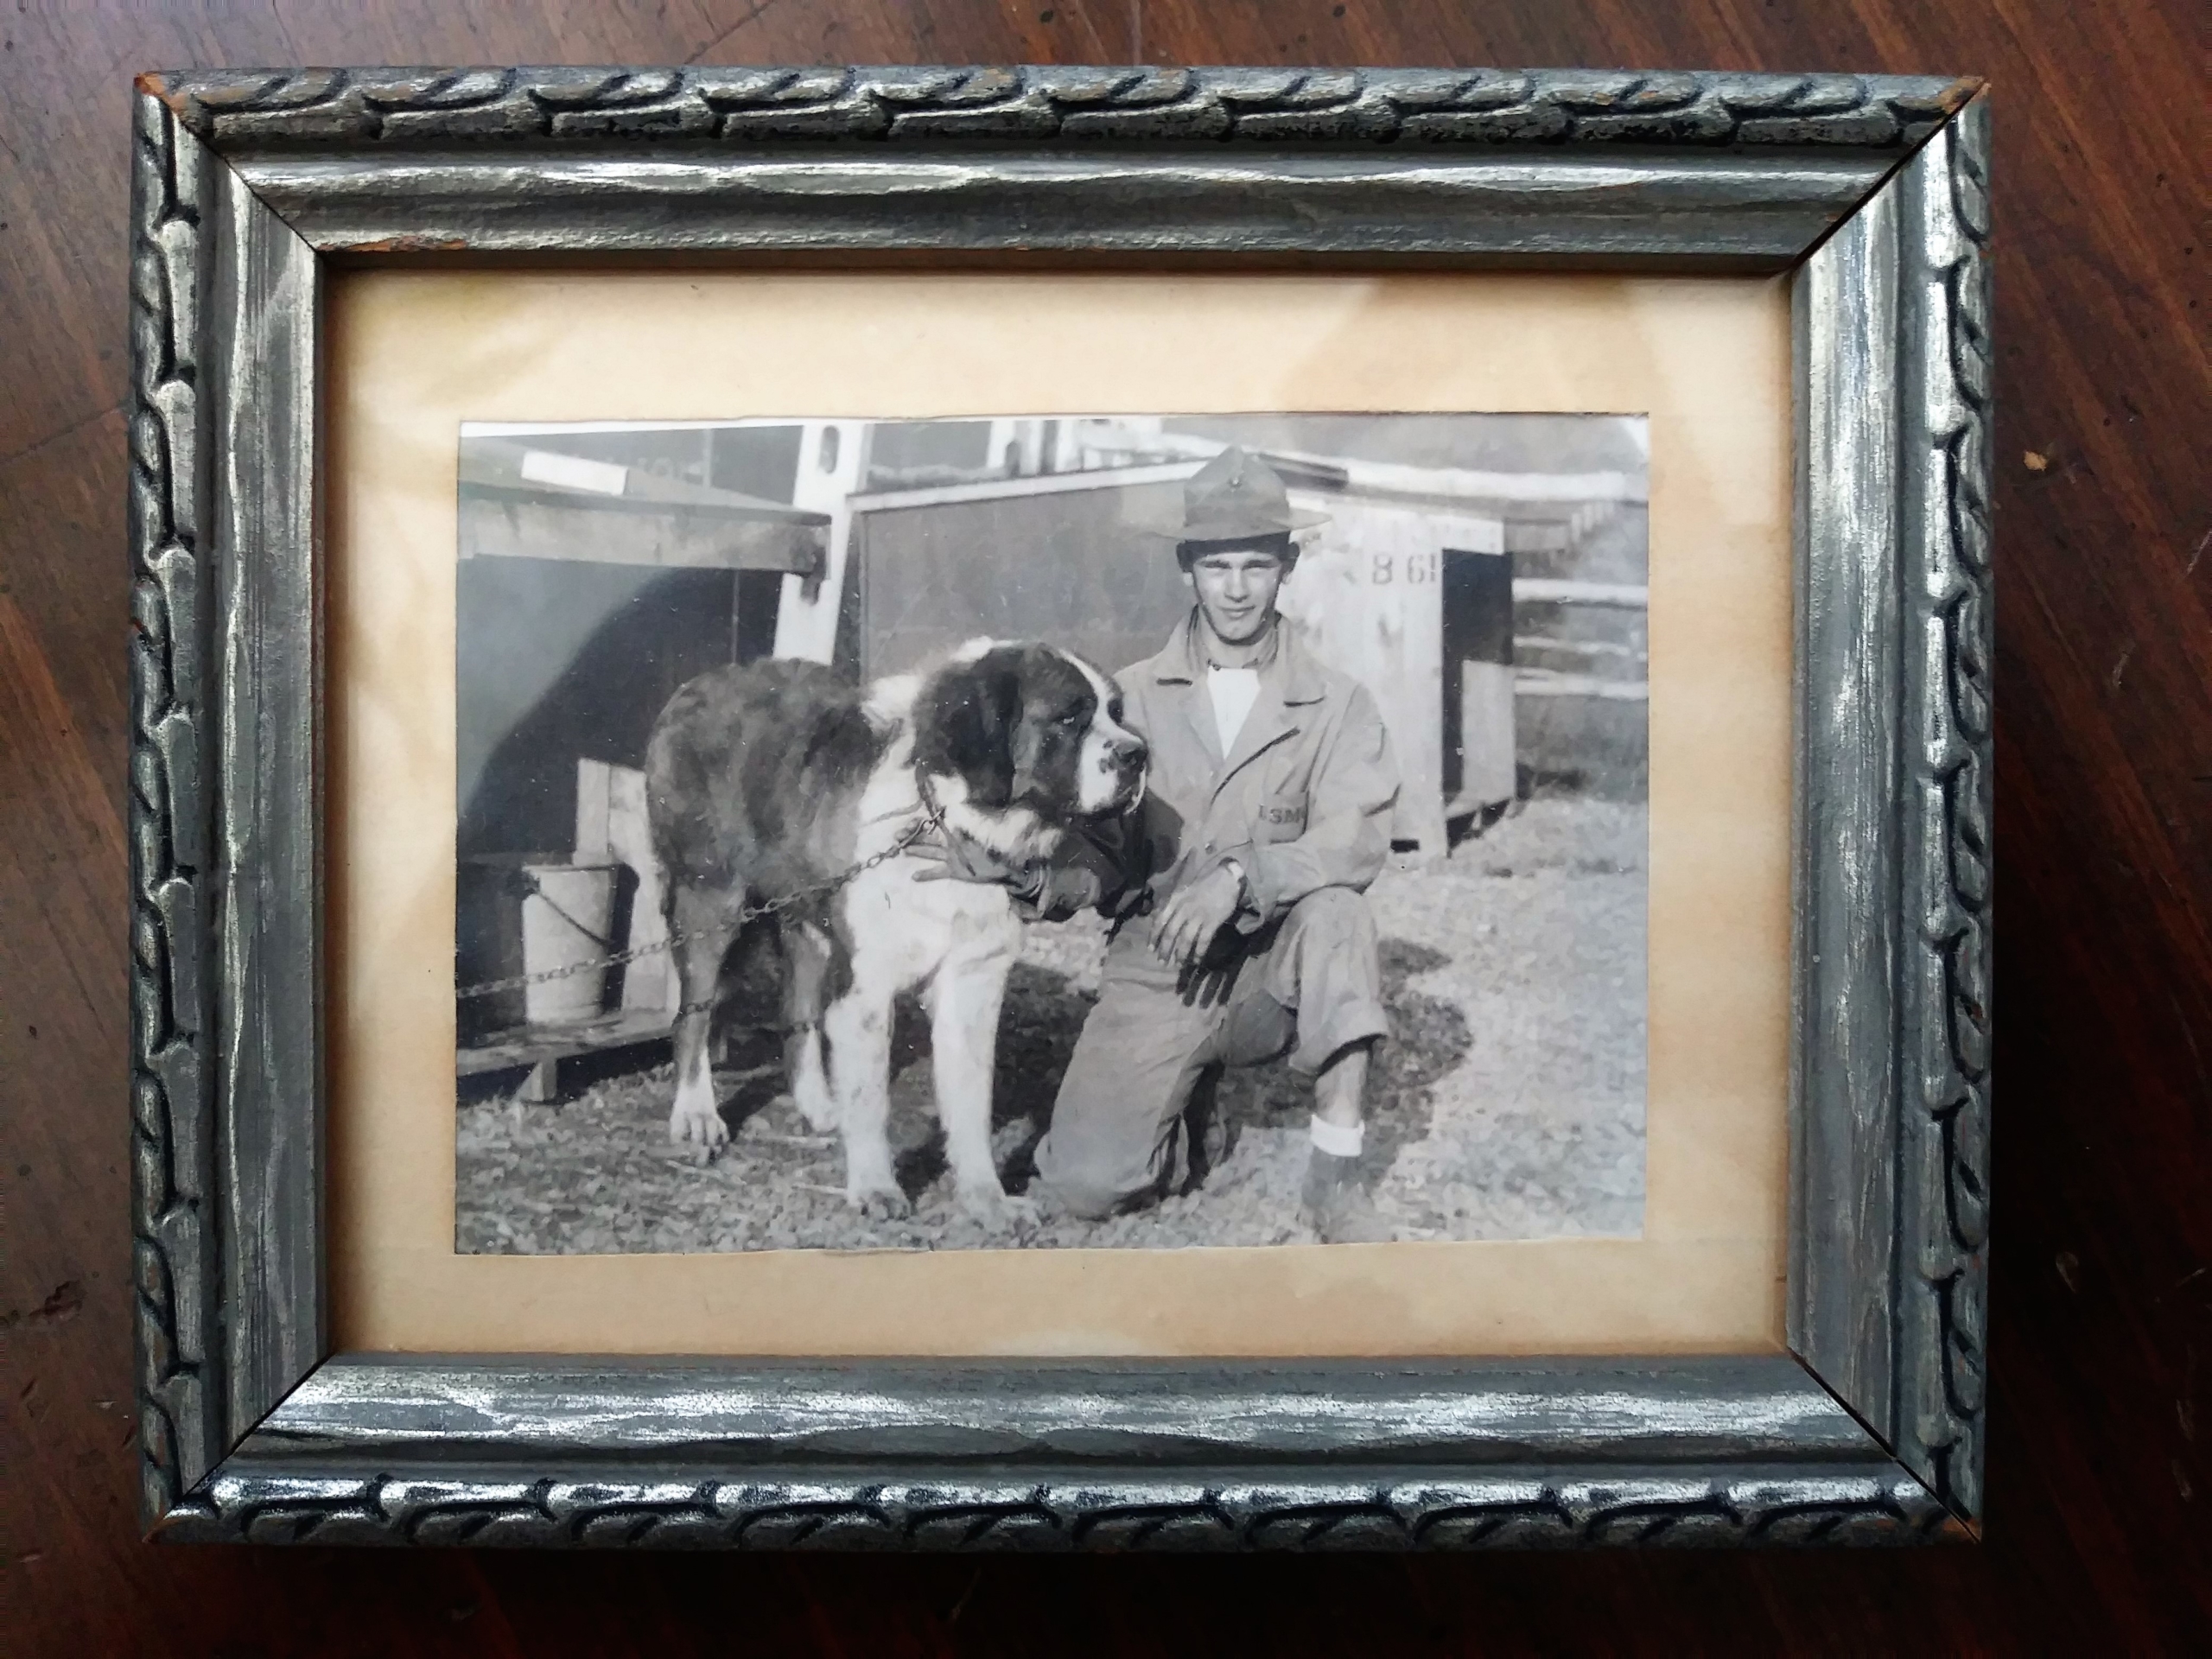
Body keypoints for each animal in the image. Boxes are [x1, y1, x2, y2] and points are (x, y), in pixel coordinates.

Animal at [645, 641, 1150, 1230]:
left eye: (1116, 712)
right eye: (1069, 717)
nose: (1138, 755)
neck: (944, 818)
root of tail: (696, 685)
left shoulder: (972, 981)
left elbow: (970, 1100)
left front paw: (987, 1198)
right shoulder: (865, 986)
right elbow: (871, 1097)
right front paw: (875, 1188)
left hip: (807, 918)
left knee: (797, 1008)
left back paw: (819, 1105)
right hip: (712, 899)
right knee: (694, 1013)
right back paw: (697, 1113)